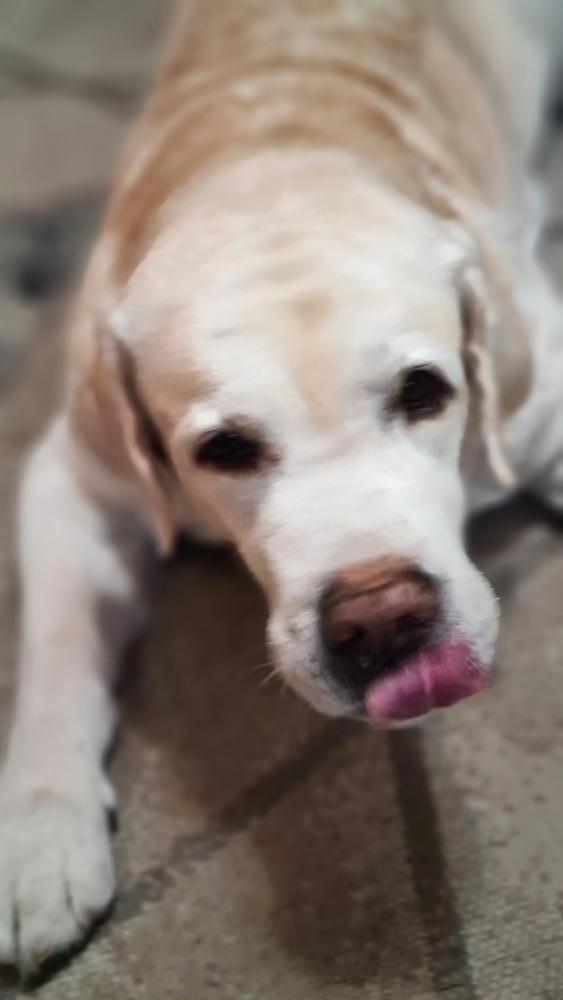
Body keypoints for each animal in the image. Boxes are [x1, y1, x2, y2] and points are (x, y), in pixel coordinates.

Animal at [1, 0, 563, 975]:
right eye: (224, 448)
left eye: (426, 391)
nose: (383, 619)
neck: (274, 156)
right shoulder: (73, 477)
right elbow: (57, 654)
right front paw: (40, 844)